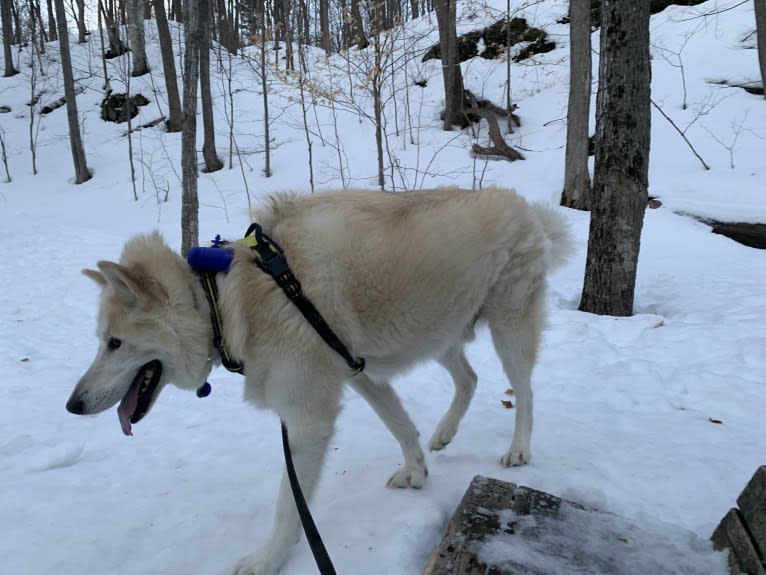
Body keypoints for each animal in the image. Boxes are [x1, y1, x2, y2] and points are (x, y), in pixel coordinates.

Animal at [66, 189, 572, 575]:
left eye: (113, 343)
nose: (72, 405)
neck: (226, 302)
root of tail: (526, 206)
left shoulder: (308, 422)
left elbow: (289, 507)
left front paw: (266, 562)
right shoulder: (359, 371)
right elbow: (400, 425)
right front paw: (416, 471)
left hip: (508, 331)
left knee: (524, 391)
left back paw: (518, 449)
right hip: (439, 338)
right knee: (469, 378)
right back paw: (445, 433)